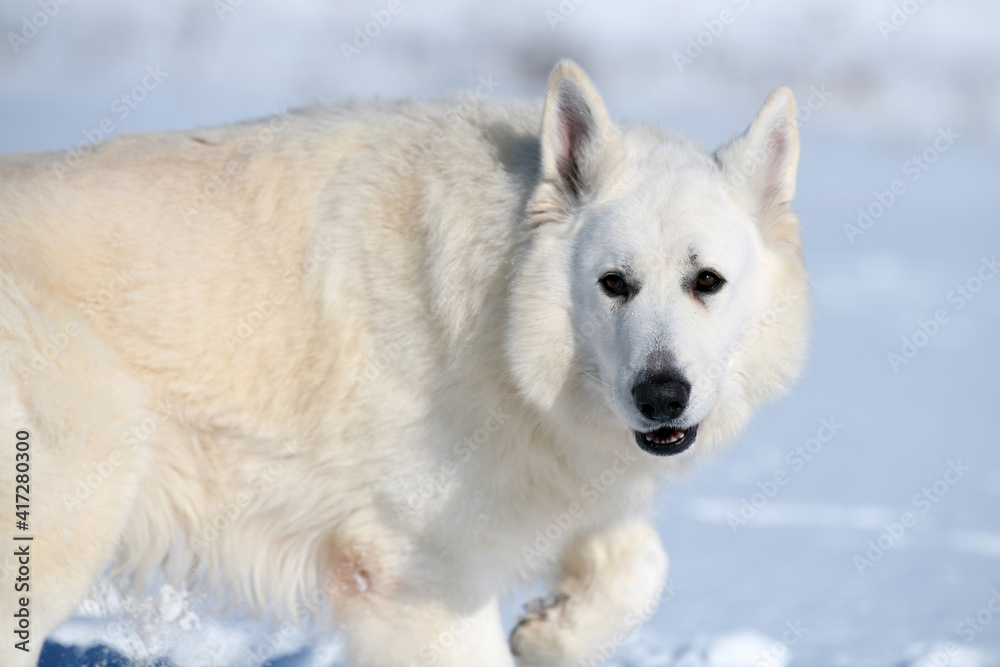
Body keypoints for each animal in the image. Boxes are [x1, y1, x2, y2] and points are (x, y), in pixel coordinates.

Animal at [0, 60, 808, 664]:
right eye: (615, 283)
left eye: (707, 281)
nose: (661, 396)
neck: (495, 324)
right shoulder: (415, 577)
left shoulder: (542, 489)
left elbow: (642, 566)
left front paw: (553, 630)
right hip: (69, 521)